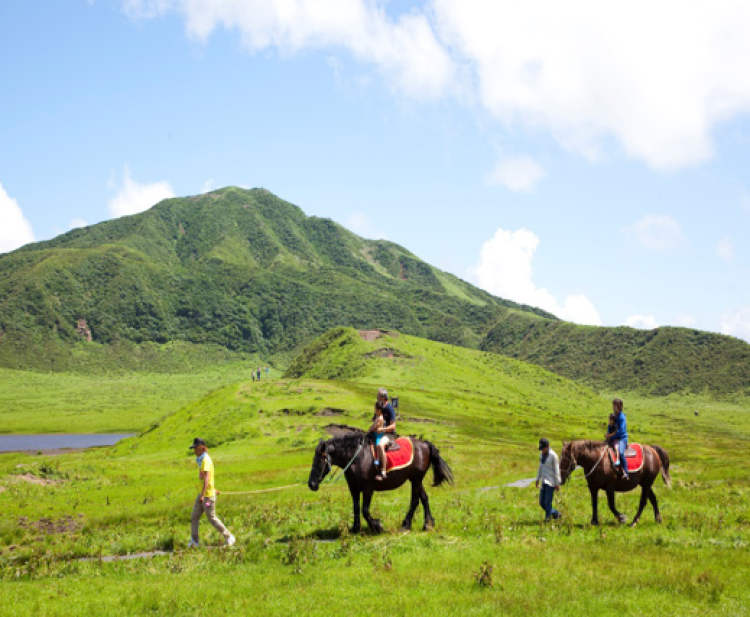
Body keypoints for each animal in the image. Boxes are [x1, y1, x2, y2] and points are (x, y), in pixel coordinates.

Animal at [308, 434, 456, 528]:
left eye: (319, 461)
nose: (311, 484)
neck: (357, 458)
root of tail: (425, 444)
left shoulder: (368, 488)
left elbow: (365, 510)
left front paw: (377, 526)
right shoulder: (353, 488)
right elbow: (356, 508)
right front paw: (355, 528)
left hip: (416, 479)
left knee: (415, 500)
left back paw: (406, 524)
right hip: (416, 480)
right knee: (424, 498)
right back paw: (427, 523)